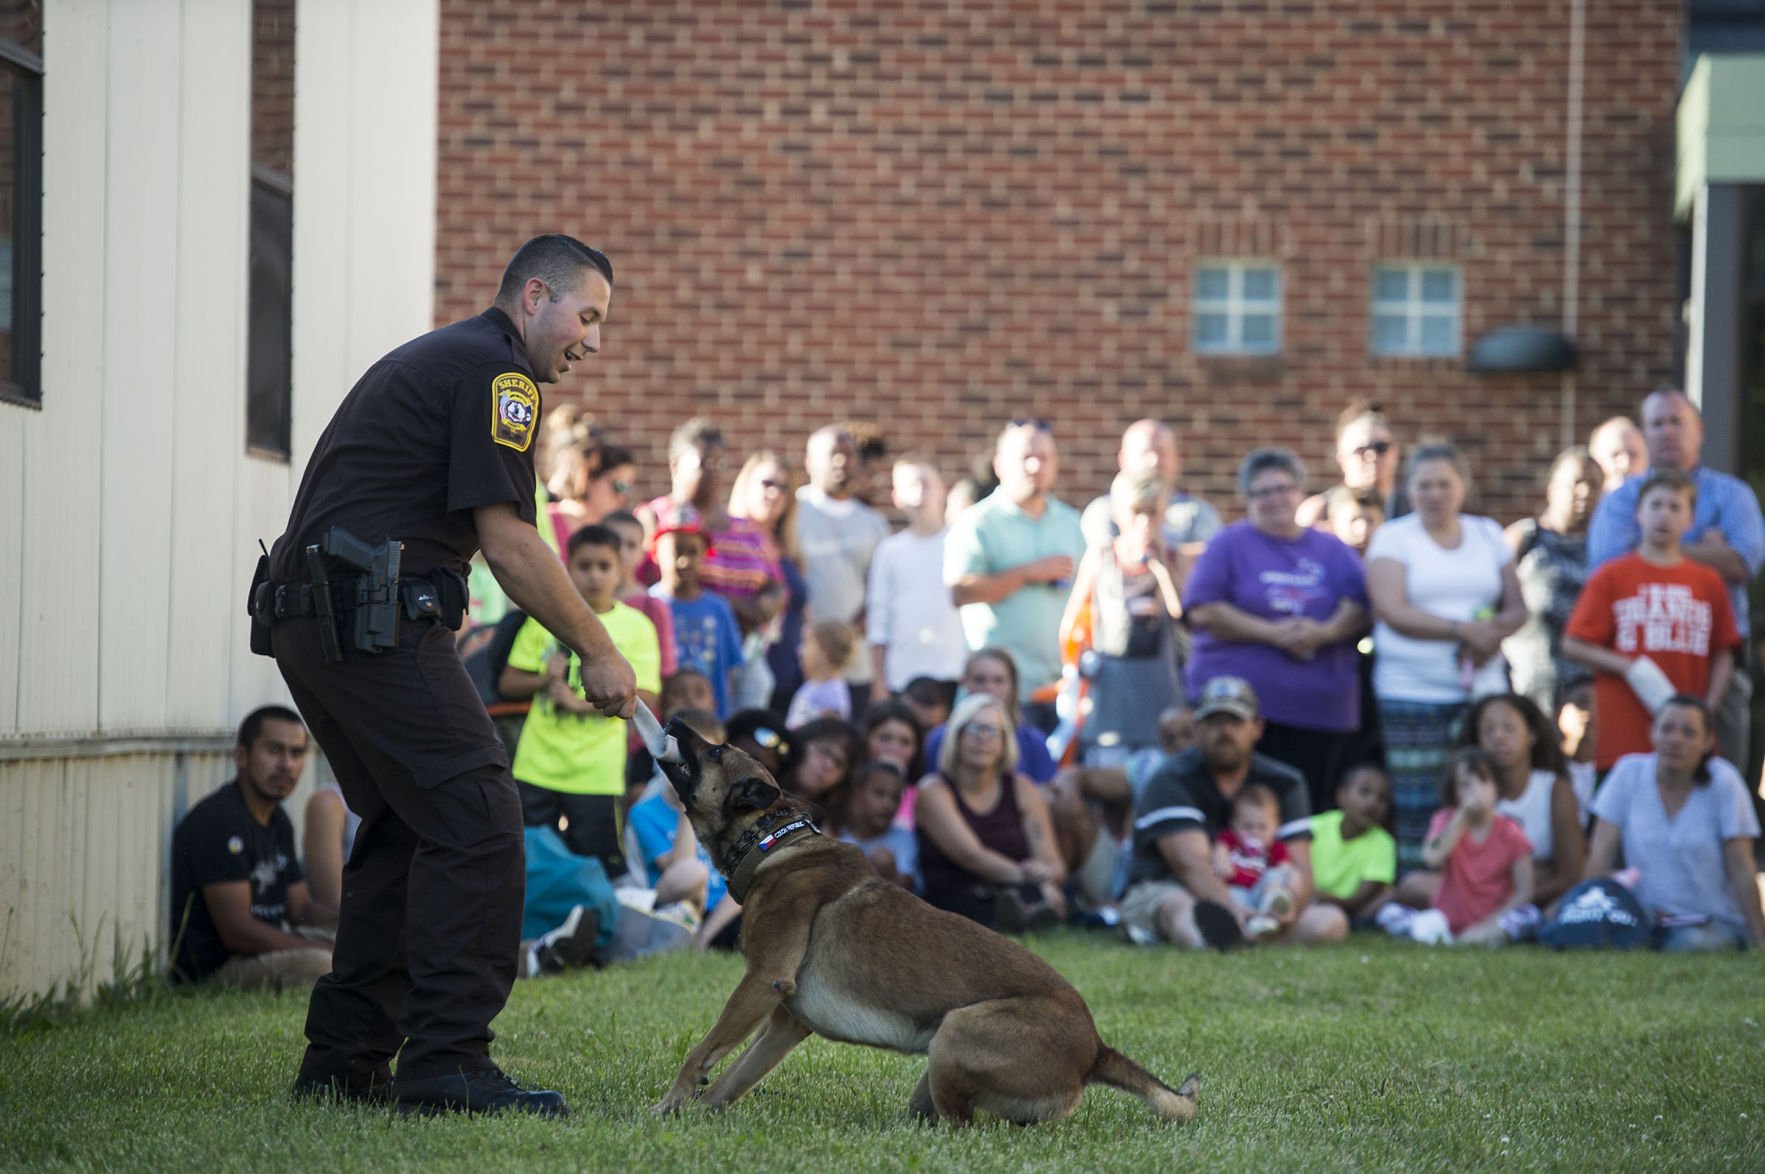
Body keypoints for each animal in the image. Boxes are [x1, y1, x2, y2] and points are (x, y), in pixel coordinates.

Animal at [649, 713, 1200, 1129]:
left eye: (717, 751)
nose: (673, 719)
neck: (773, 842)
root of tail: (1095, 1050)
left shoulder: (762, 981)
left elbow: (701, 1053)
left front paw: (668, 1105)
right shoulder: (785, 1022)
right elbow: (733, 1078)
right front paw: (697, 1113)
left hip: (957, 1031)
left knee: (962, 1128)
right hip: (938, 1062)